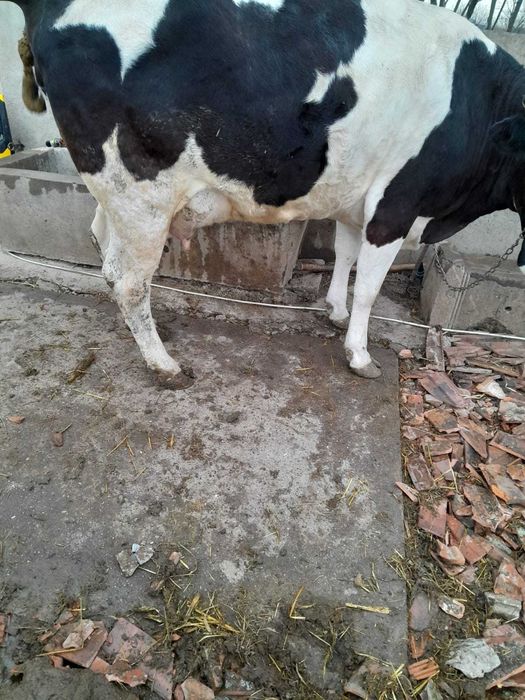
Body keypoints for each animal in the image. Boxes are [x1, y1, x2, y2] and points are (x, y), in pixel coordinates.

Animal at [10, 0, 525, 387]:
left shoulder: (357, 200)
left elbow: (344, 255)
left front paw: (334, 311)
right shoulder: (396, 205)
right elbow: (369, 288)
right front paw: (359, 354)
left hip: (115, 194)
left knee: (101, 241)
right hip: (140, 194)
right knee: (128, 279)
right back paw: (164, 365)